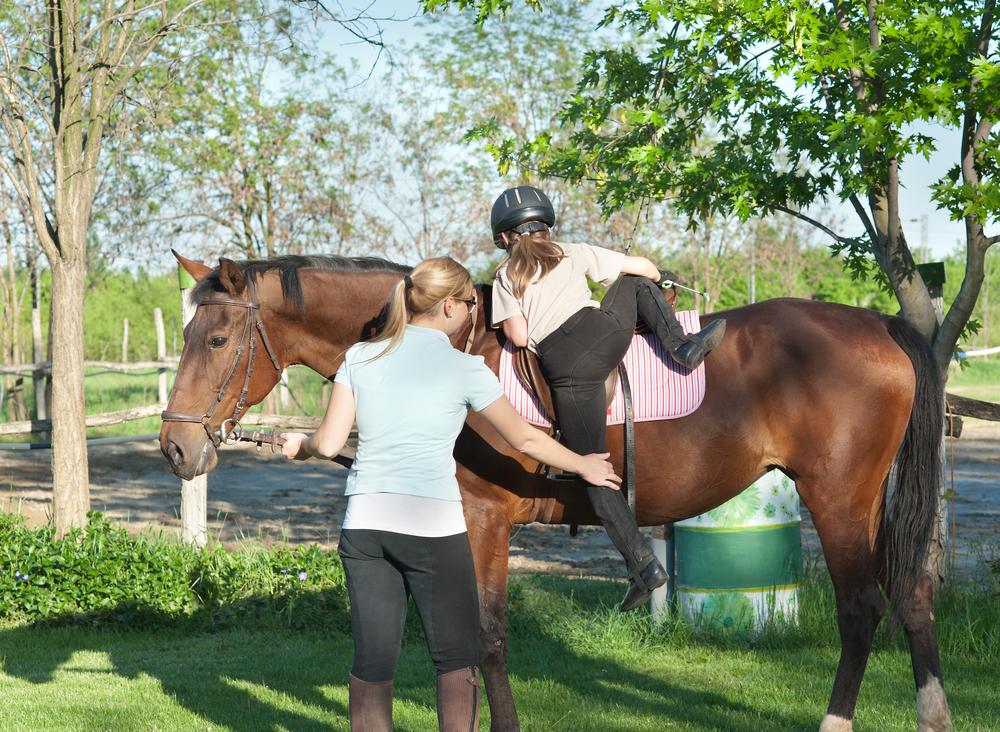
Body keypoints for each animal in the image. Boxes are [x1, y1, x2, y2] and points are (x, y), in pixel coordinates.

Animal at [159, 252, 951, 732]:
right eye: (189, 335)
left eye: (217, 341)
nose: (175, 446)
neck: (438, 348)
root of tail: (878, 322)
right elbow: (468, 640)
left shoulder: (482, 521)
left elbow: (487, 638)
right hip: (868, 503)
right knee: (911, 595)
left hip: (838, 498)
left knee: (862, 609)